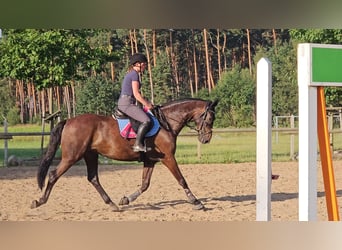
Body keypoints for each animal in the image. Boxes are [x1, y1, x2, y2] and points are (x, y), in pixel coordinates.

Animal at [30, 97, 218, 211]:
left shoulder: (151, 160)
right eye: (210, 119)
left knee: (93, 178)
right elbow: (181, 179)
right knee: (54, 175)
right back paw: (39, 201)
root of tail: (69, 120)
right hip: (72, 156)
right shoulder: (168, 158)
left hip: (90, 154)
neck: (166, 122)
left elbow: (145, 184)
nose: (206, 139)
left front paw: (126, 199)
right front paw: (196, 202)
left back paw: (112, 204)